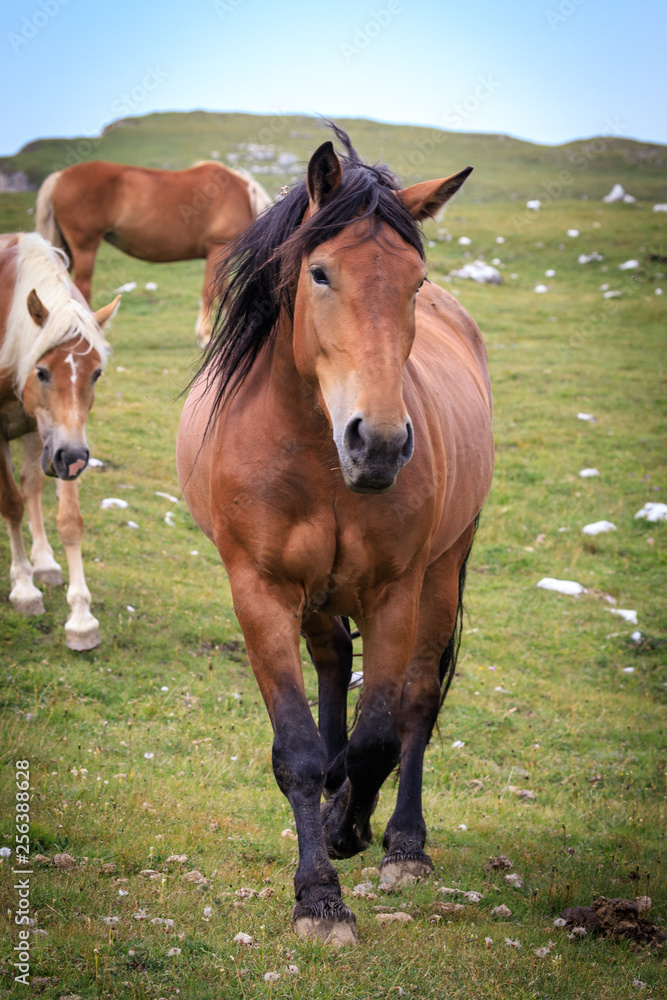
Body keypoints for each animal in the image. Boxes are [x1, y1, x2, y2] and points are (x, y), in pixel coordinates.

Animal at [0, 232, 119, 651]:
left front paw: (81, 619)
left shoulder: (62, 443)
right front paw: (23, 590)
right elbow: (11, 505)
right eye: (41, 371)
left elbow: (69, 521)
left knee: (32, 484)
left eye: (96, 373)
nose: (74, 456)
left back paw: (46, 562)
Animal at [35, 160, 272, 347]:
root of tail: (59, 177)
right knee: (82, 289)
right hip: (85, 247)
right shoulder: (218, 249)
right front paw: (205, 337)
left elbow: (226, 293)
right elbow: (211, 292)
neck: (243, 196)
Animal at [176, 127, 494, 945]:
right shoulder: (258, 591)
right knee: (328, 670)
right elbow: (298, 750)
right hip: (314, 598)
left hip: (441, 570)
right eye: (320, 273)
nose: (377, 444)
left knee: (415, 702)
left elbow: (380, 734)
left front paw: (348, 832)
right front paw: (317, 894)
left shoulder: (393, 592)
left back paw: (402, 842)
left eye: (414, 282)